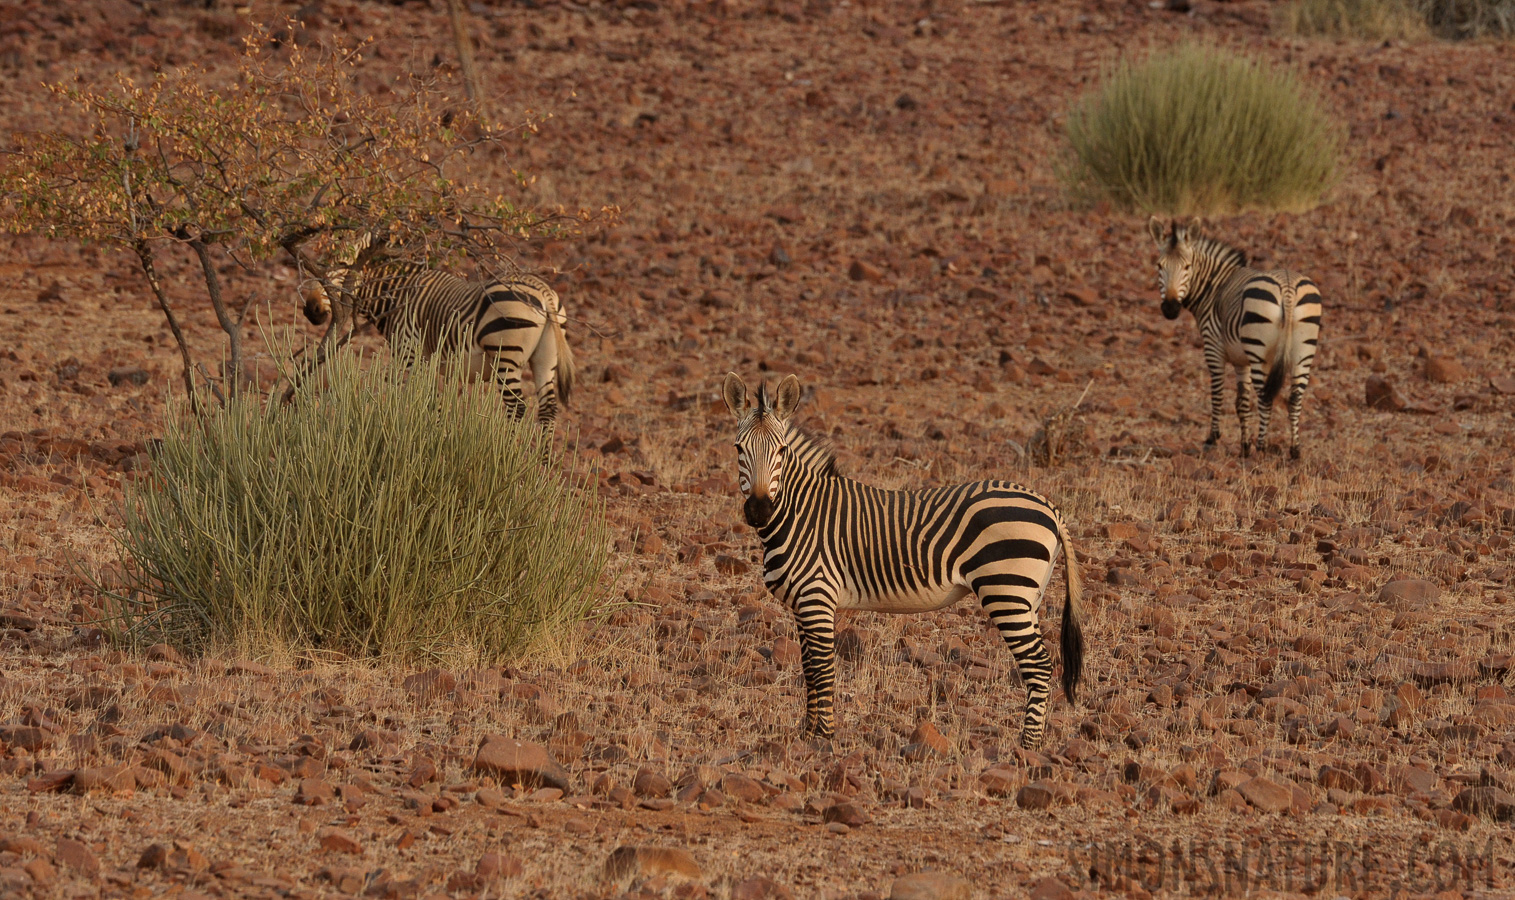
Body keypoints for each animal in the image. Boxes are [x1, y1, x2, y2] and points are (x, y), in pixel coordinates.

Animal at [301, 233, 572, 433]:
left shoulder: (410, 353)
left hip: (506, 355)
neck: (396, 293)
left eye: (342, 266)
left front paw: (432, 439)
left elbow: (427, 400)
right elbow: (429, 400)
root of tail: (543, 290)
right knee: (547, 410)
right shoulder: (426, 361)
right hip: (545, 358)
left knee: (516, 406)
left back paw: (506, 453)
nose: (310, 310)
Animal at [727, 368, 1084, 745]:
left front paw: (823, 736)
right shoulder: (802, 603)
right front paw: (808, 731)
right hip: (1029, 595)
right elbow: (809, 666)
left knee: (1039, 665)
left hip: (1006, 590)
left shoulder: (817, 596)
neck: (800, 512)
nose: (759, 510)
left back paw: (1027, 746)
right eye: (738, 448)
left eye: (781, 450)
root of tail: (1049, 506)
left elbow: (822, 667)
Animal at [1151, 215, 1321, 454]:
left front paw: (1213, 438)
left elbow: (1218, 394)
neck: (1214, 288)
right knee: (1295, 399)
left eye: (1187, 266)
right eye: (1159, 266)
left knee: (1265, 398)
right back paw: (1295, 450)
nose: (1170, 308)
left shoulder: (1214, 349)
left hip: (1260, 352)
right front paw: (1244, 446)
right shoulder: (1242, 361)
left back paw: (1262, 446)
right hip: (1303, 352)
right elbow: (1242, 402)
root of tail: (1287, 287)